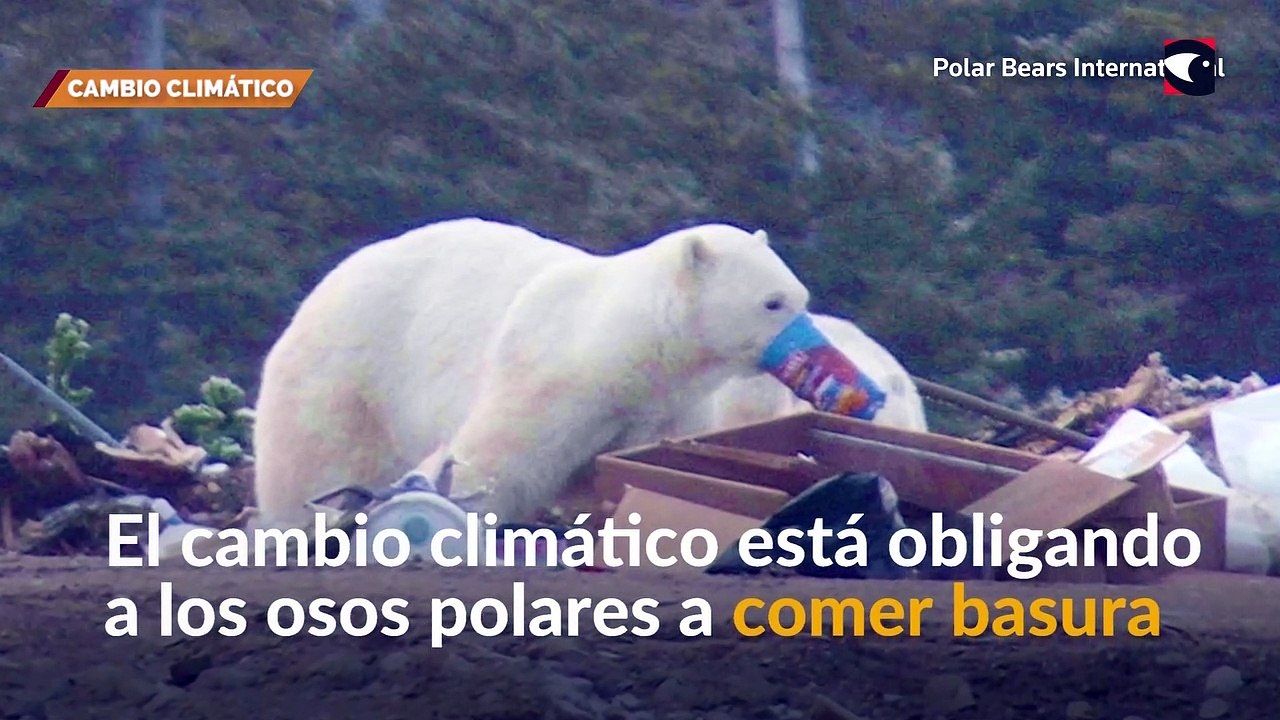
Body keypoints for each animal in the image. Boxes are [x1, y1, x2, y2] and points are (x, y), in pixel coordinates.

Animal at [250, 217, 820, 530]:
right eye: (773, 302)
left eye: (801, 295)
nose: (814, 349)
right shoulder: (551, 375)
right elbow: (498, 459)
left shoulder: (670, 405)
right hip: (348, 370)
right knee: (320, 458)